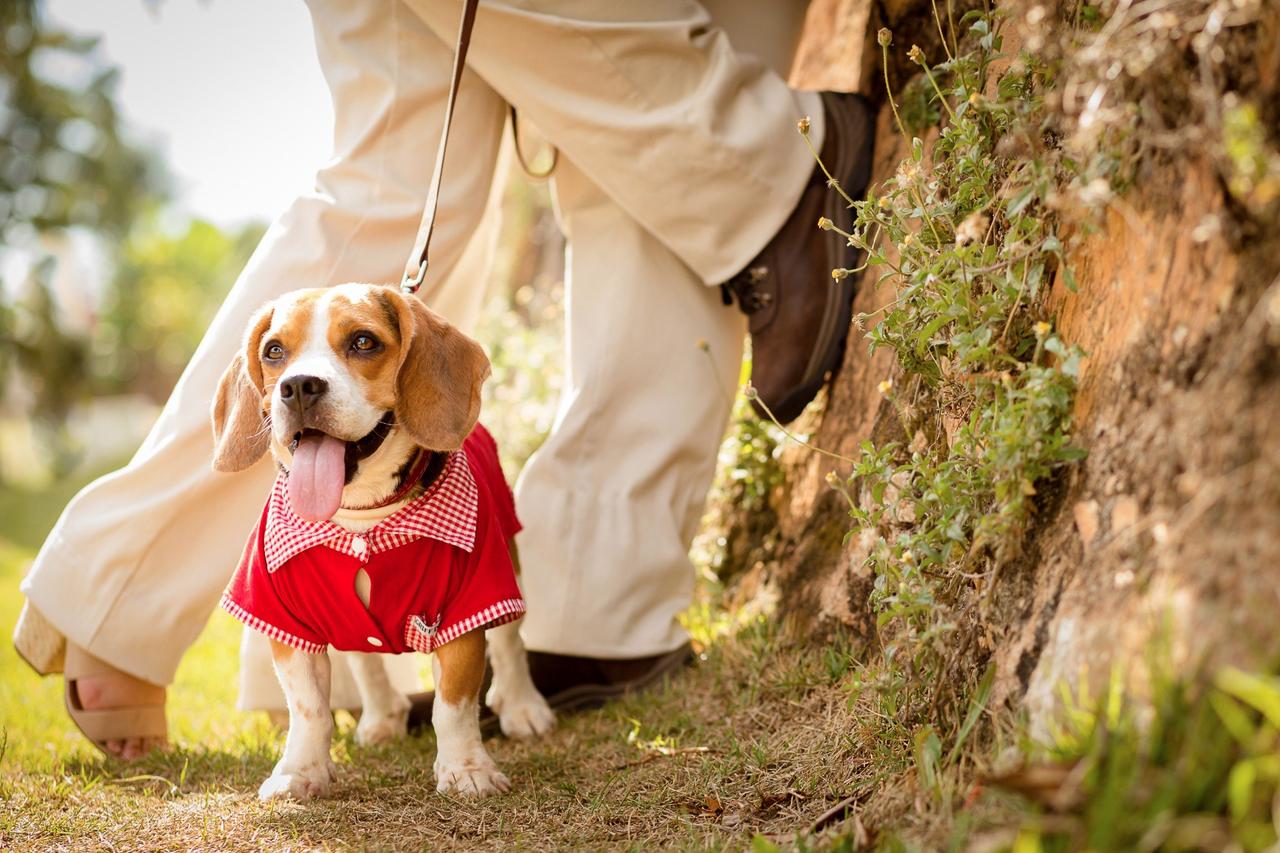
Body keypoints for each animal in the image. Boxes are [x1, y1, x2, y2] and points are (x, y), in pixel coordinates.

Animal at [207, 284, 552, 799]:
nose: (298, 386)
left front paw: (466, 769)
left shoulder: (465, 613)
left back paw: (523, 707)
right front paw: (300, 772)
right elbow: (309, 709)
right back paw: (382, 716)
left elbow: (452, 705)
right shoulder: (286, 622)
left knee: (510, 643)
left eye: (363, 342)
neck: (363, 520)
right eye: (274, 351)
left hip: (507, 569)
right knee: (363, 659)